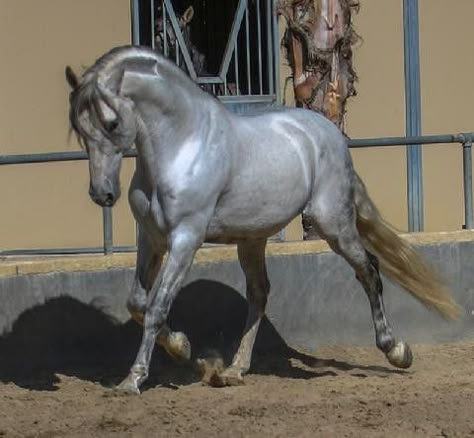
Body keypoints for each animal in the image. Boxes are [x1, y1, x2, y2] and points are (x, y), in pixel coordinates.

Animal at [65, 46, 460, 396]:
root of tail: (330, 132)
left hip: (332, 224)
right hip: (251, 239)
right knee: (259, 293)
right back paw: (234, 369)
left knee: (369, 270)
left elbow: (156, 307)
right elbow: (136, 304)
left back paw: (396, 350)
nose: (103, 194)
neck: (183, 147)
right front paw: (183, 348)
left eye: (112, 122)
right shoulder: (152, 240)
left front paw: (134, 379)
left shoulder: (186, 240)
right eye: (79, 130)